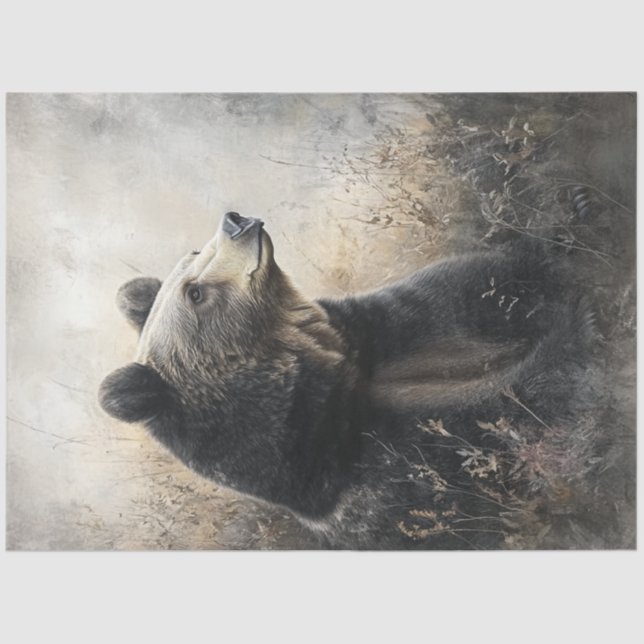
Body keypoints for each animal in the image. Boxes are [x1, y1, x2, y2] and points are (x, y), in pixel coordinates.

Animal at [99, 212, 596, 549]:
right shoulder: (398, 476)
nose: (235, 221)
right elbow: (513, 415)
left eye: (192, 256)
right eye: (196, 293)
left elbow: (486, 281)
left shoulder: (397, 331)